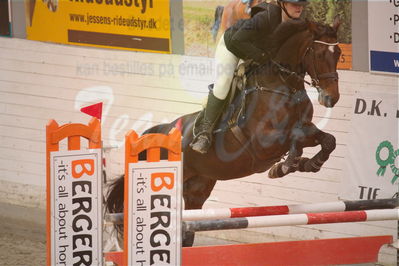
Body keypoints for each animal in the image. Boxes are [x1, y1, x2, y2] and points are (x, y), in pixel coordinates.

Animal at [107, 17, 344, 247]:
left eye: (339, 54)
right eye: (319, 53)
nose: (331, 98)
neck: (285, 86)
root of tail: (158, 134)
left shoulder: (305, 127)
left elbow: (327, 140)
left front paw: (310, 163)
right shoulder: (264, 141)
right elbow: (296, 138)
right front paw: (284, 166)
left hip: (197, 188)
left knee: (188, 230)